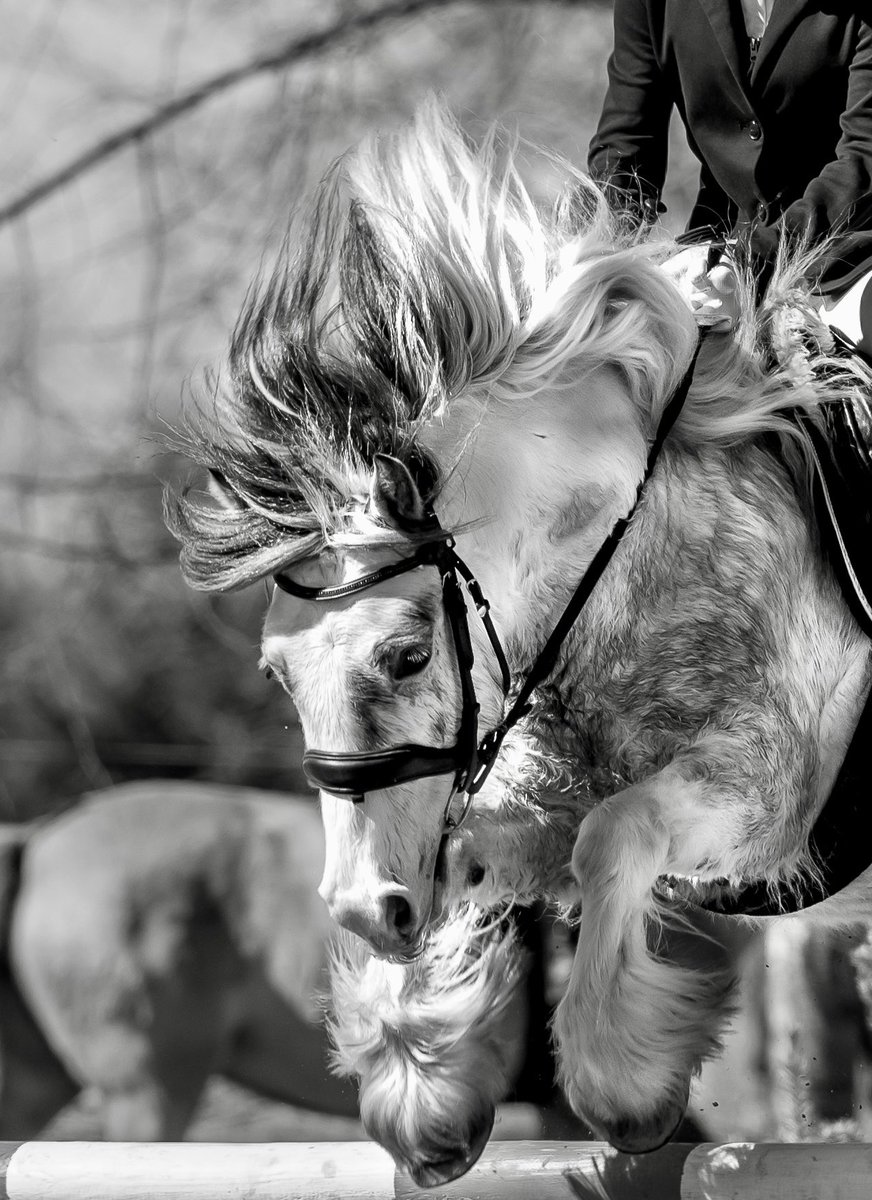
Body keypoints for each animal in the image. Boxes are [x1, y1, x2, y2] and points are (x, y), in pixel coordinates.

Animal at [166, 102, 872, 1183]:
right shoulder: (506, 800)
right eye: (279, 676)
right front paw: (426, 1093)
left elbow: (612, 835)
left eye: (409, 654)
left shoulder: (766, 798)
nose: (362, 911)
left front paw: (624, 1088)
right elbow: (471, 859)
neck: (625, 564)